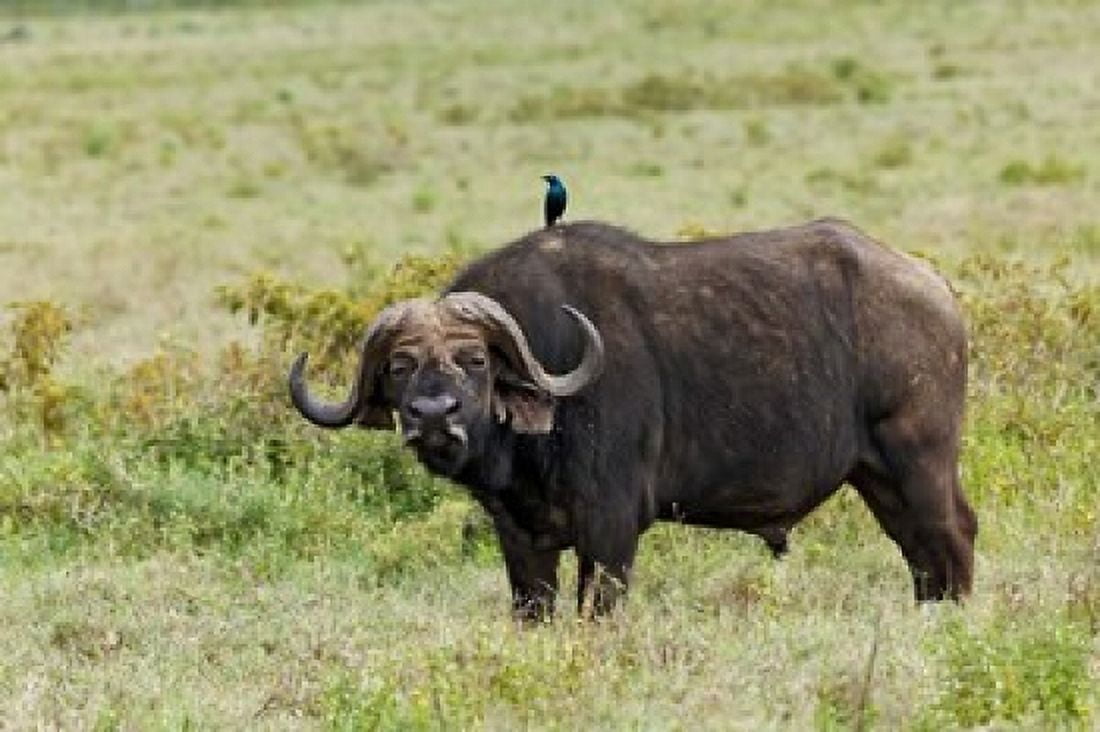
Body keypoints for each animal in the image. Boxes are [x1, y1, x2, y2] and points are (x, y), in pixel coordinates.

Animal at [289, 219, 976, 619]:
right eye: (400, 366)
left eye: (475, 359)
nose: (434, 414)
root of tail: (936, 290)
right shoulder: (521, 541)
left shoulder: (611, 531)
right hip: (877, 478)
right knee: (920, 556)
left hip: (920, 460)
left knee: (953, 537)